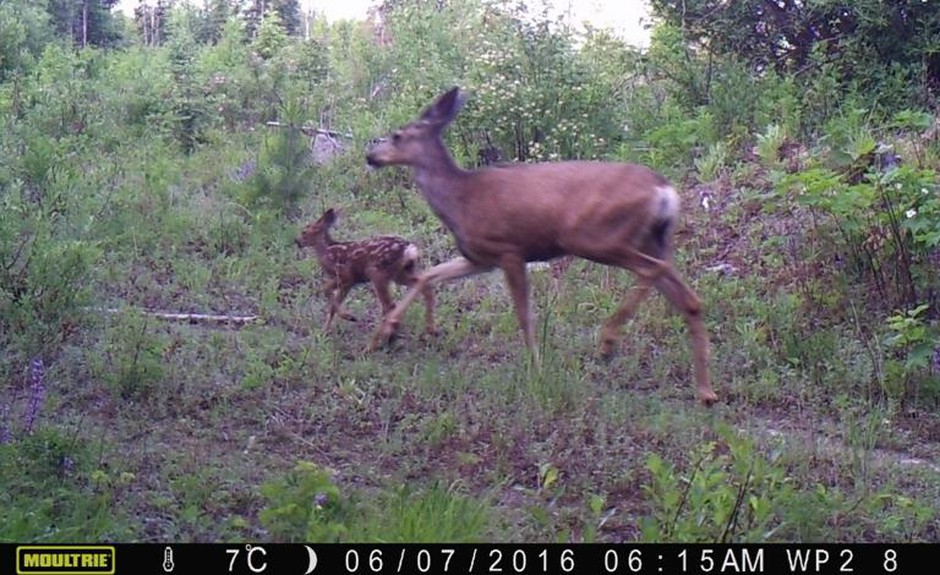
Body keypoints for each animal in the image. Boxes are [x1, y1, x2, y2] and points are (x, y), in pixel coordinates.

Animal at [364, 88, 716, 408]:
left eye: (397, 135)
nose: (370, 156)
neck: (460, 200)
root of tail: (665, 190)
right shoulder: (478, 257)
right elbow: (429, 275)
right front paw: (385, 332)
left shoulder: (509, 250)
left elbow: (524, 315)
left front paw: (536, 370)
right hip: (651, 240)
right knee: (688, 297)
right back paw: (705, 392)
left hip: (596, 236)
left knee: (653, 271)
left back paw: (607, 342)